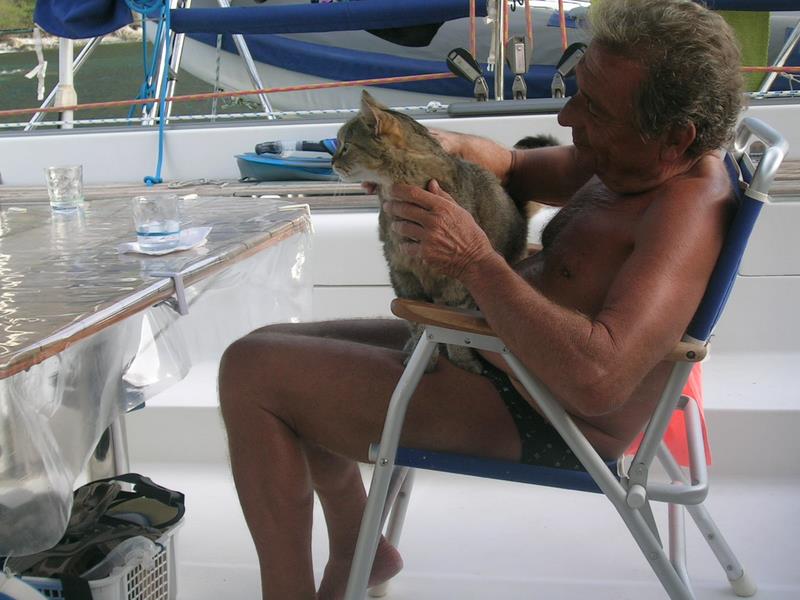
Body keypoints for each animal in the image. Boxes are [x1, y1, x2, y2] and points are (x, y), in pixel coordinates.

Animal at [332, 90, 529, 373]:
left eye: (345, 146)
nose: (332, 161)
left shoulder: (457, 282)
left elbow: (456, 330)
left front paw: (461, 360)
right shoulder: (402, 273)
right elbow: (418, 326)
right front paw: (420, 356)